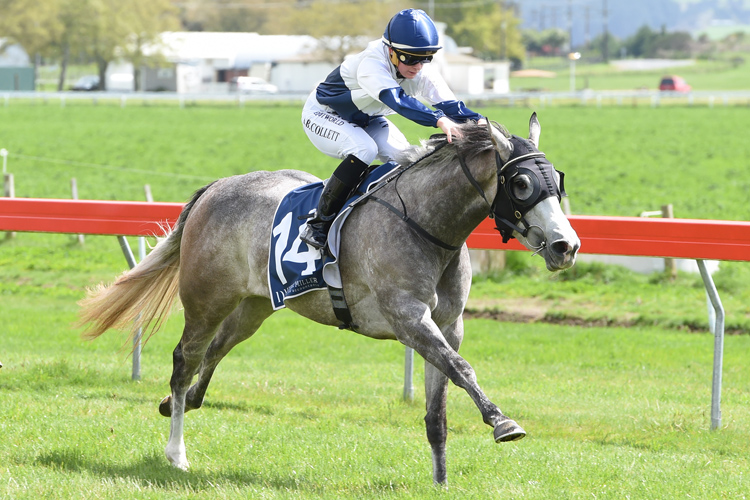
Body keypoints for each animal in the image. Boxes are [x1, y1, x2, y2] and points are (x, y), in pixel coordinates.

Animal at [79, 115, 580, 482]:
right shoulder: (408, 319)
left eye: (556, 180)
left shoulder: (447, 325)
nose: (566, 246)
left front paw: (441, 480)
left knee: (215, 351)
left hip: (254, 306)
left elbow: (438, 405)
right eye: (521, 184)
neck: (427, 225)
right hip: (207, 299)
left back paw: (174, 404)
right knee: (186, 360)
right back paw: (176, 451)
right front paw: (502, 423)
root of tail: (214, 188)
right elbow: (462, 369)